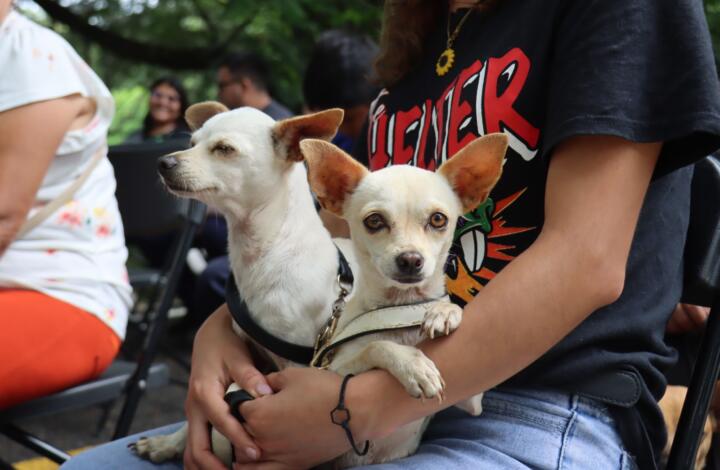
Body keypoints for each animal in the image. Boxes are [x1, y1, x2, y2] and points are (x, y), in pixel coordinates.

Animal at [300, 135, 504, 466]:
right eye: (374, 221)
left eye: (438, 219)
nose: (410, 259)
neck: (399, 309)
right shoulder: (331, 371)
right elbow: (376, 346)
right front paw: (413, 366)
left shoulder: (472, 402)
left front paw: (444, 311)